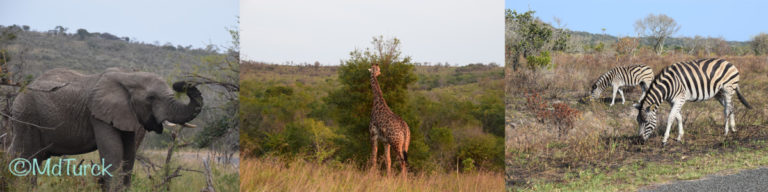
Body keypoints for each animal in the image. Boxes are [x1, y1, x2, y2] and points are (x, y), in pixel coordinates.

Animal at [7, 67, 204, 190]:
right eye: (151, 98)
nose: (179, 84)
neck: (128, 77)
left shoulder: (125, 115)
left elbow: (129, 156)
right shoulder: (98, 115)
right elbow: (114, 154)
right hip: (27, 117)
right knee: (24, 158)